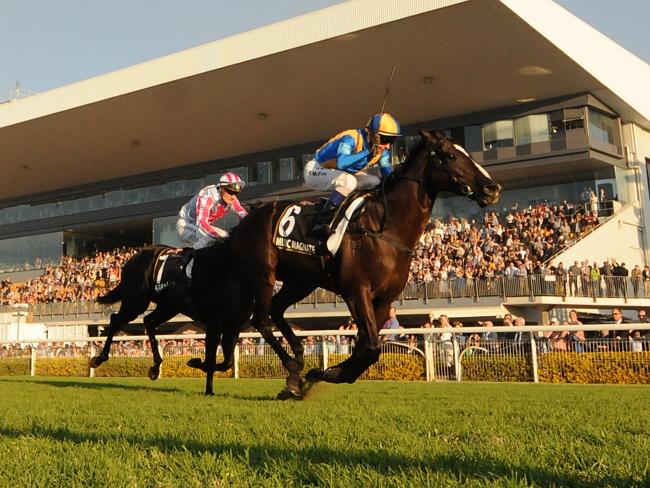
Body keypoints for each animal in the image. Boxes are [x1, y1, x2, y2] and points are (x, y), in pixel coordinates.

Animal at [91, 242, 251, 384]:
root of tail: (135, 257)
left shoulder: (233, 326)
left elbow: (228, 362)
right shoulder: (217, 322)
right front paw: (196, 362)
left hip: (169, 306)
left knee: (149, 321)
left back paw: (155, 367)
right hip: (136, 301)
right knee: (115, 320)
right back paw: (98, 359)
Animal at [192, 130, 502, 396]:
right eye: (450, 155)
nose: (493, 188)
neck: (385, 228)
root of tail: (244, 222)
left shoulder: (384, 299)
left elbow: (366, 346)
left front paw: (328, 372)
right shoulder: (356, 290)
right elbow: (371, 347)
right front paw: (328, 373)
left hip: (301, 280)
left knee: (277, 310)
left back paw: (297, 364)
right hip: (263, 274)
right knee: (261, 318)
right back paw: (292, 367)